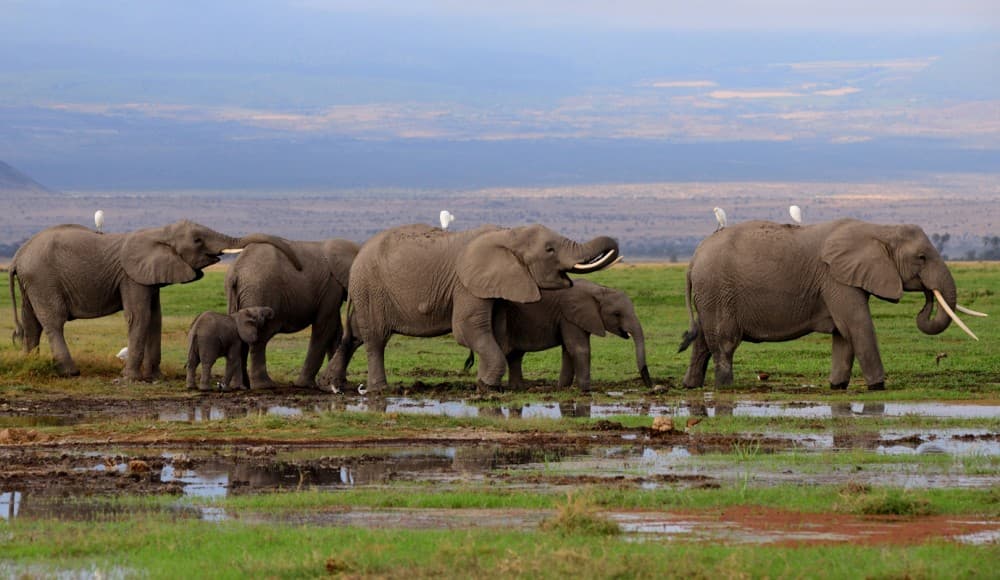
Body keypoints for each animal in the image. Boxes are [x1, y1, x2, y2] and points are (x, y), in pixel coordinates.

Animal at [8, 220, 301, 380]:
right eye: (197, 240)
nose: (298, 267)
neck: (160, 232)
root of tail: (17, 257)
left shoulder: (150, 276)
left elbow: (155, 317)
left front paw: (155, 377)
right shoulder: (131, 276)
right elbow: (139, 316)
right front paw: (130, 378)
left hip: (31, 282)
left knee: (31, 322)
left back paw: (29, 363)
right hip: (42, 278)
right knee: (53, 321)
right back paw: (70, 372)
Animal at [226, 238, 359, 389]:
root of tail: (236, 271)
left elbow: (335, 330)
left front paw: (337, 384)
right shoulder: (330, 287)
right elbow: (325, 328)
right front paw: (306, 385)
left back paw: (241, 386)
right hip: (259, 292)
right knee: (259, 338)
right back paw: (265, 385)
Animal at [319, 223, 620, 393]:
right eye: (549, 250)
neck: (507, 233)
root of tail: (359, 254)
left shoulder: (495, 286)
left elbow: (496, 333)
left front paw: (486, 384)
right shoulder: (465, 284)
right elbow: (468, 331)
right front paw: (488, 387)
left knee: (354, 337)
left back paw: (331, 385)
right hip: (371, 288)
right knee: (375, 339)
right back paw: (377, 391)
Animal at [464, 279, 651, 392]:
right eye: (617, 314)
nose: (651, 386)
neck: (598, 290)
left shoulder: (576, 319)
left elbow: (569, 351)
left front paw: (562, 388)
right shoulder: (569, 316)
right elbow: (579, 349)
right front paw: (586, 390)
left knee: (515, 355)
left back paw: (517, 389)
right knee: (502, 351)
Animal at [679, 218, 983, 391]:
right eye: (921, 257)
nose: (928, 298)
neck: (878, 230)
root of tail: (693, 259)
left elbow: (843, 336)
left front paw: (837, 386)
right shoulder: (836, 279)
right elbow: (857, 326)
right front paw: (878, 387)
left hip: (710, 296)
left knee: (703, 341)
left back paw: (691, 386)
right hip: (719, 292)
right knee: (724, 343)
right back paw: (725, 388)